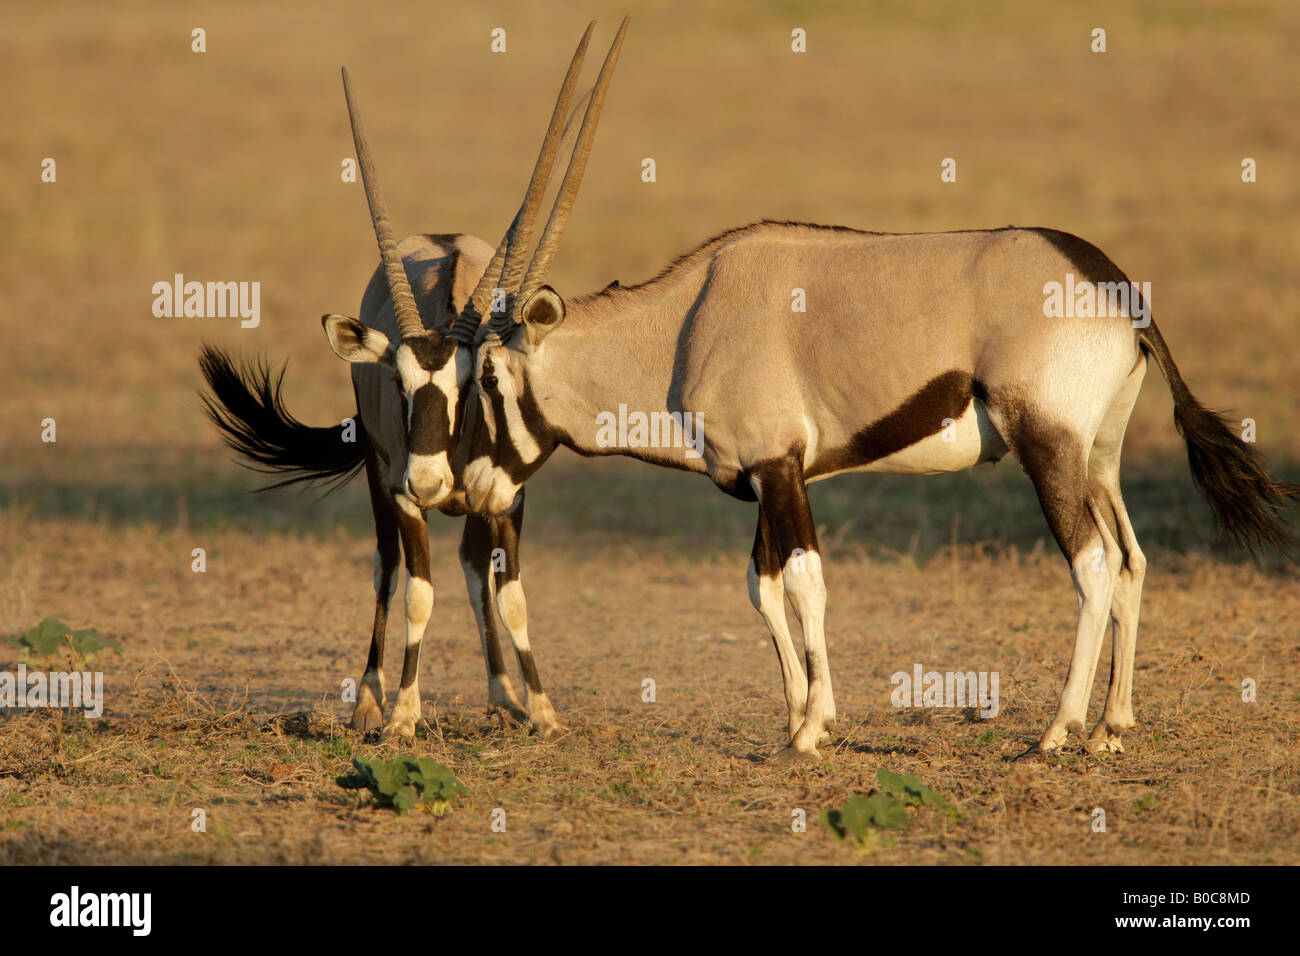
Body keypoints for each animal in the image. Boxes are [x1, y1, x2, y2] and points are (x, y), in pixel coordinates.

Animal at [197, 18, 629, 743]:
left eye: (476, 384)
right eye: (398, 386)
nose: (428, 481)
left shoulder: (507, 496)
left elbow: (511, 595)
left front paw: (541, 711)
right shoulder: (401, 494)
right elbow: (418, 594)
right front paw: (402, 715)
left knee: (471, 566)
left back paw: (502, 694)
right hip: (380, 476)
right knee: (387, 567)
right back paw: (370, 698)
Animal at [454, 218, 1289, 764]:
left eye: (488, 378)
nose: (469, 489)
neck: (684, 326)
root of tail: (1114, 290)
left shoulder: (779, 470)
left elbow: (804, 582)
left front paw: (810, 730)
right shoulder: (770, 478)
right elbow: (762, 587)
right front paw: (797, 718)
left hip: (1050, 450)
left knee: (1093, 565)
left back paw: (1060, 731)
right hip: (1101, 459)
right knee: (1132, 559)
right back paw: (1115, 723)